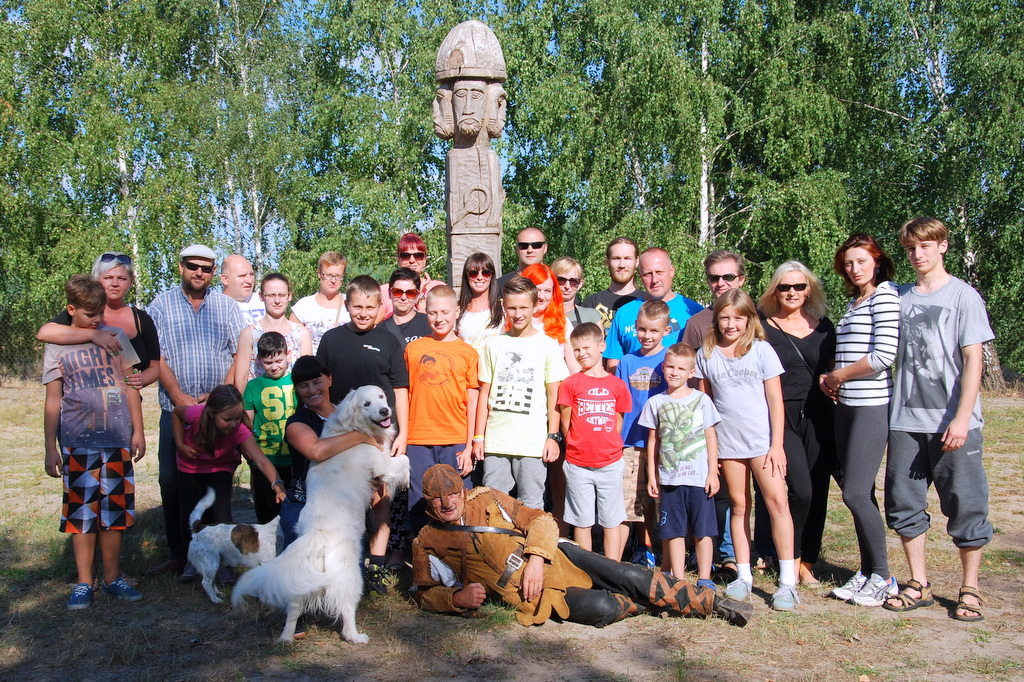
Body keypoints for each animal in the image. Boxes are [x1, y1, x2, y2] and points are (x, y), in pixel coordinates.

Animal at [232, 385, 410, 644]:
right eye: (366, 404)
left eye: (380, 397)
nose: (385, 410)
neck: (353, 428)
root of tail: (317, 538)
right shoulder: (381, 463)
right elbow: (403, 460)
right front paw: (406, 481)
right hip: (349, 575)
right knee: (346, 610)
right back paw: (356, 637)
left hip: (303, 583)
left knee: (293, 609)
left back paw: (287, 637)